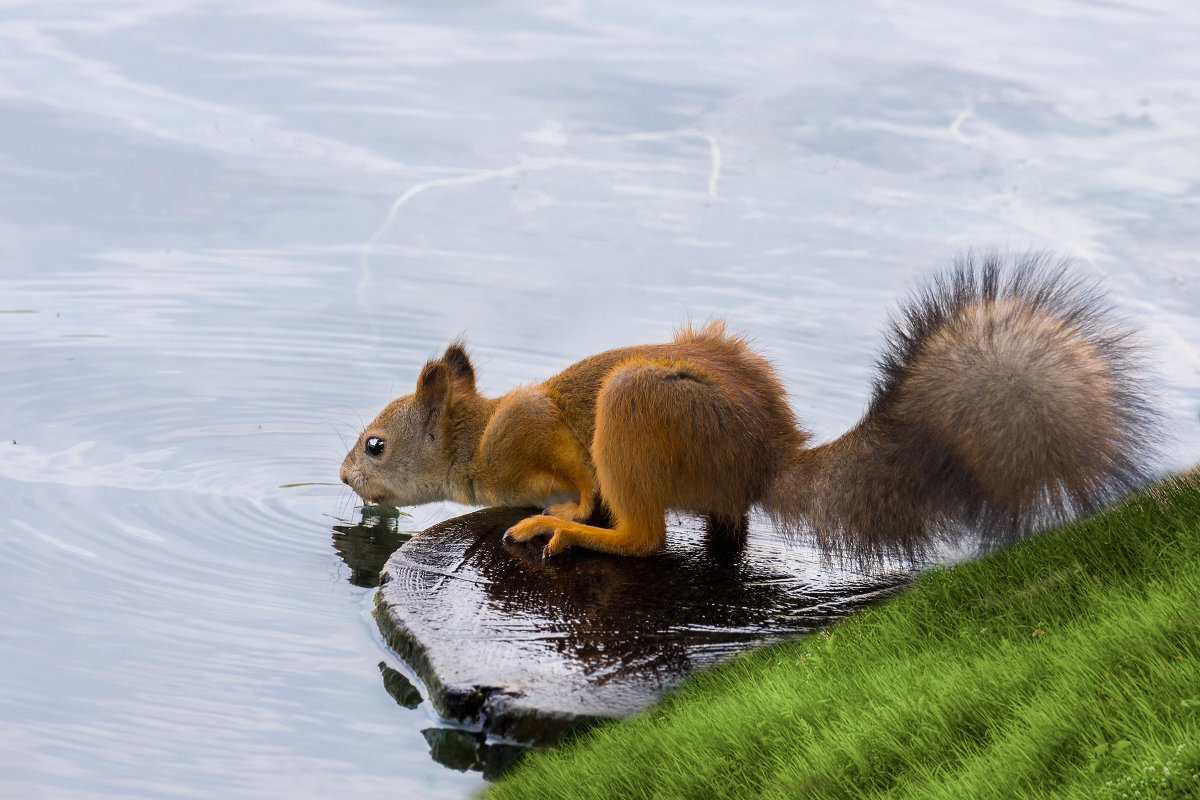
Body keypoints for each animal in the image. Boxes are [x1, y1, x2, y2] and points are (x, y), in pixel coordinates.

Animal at [340, 253, 1161, 561]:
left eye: (375, 444)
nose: (345, 478)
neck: (474, 442)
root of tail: (766, 458)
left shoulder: (532, 432)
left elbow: (575, 475)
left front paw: (564, 509)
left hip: (639, 409)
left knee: (644, 538)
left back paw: (570, 531)